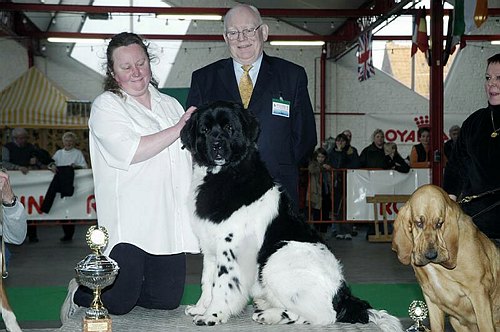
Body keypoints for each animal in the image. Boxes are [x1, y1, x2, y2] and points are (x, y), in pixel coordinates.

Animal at [180, 100, 402, 330]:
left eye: (229, 128)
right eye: (205, 130)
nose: (216, 145)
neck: (225, 176)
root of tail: (342, 296)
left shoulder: (231, 248)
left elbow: (223, 284)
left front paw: (212, 315)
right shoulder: (209, 248)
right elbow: (208, 281)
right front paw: (201, 308)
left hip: (278, 257)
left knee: (325, 315)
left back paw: (271, 315)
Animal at [392, 184, 498, 332]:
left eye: (439, 224)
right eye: (419, 223)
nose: (430, 255)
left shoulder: (479, 291)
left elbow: (485, 326)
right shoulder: (431, 297)